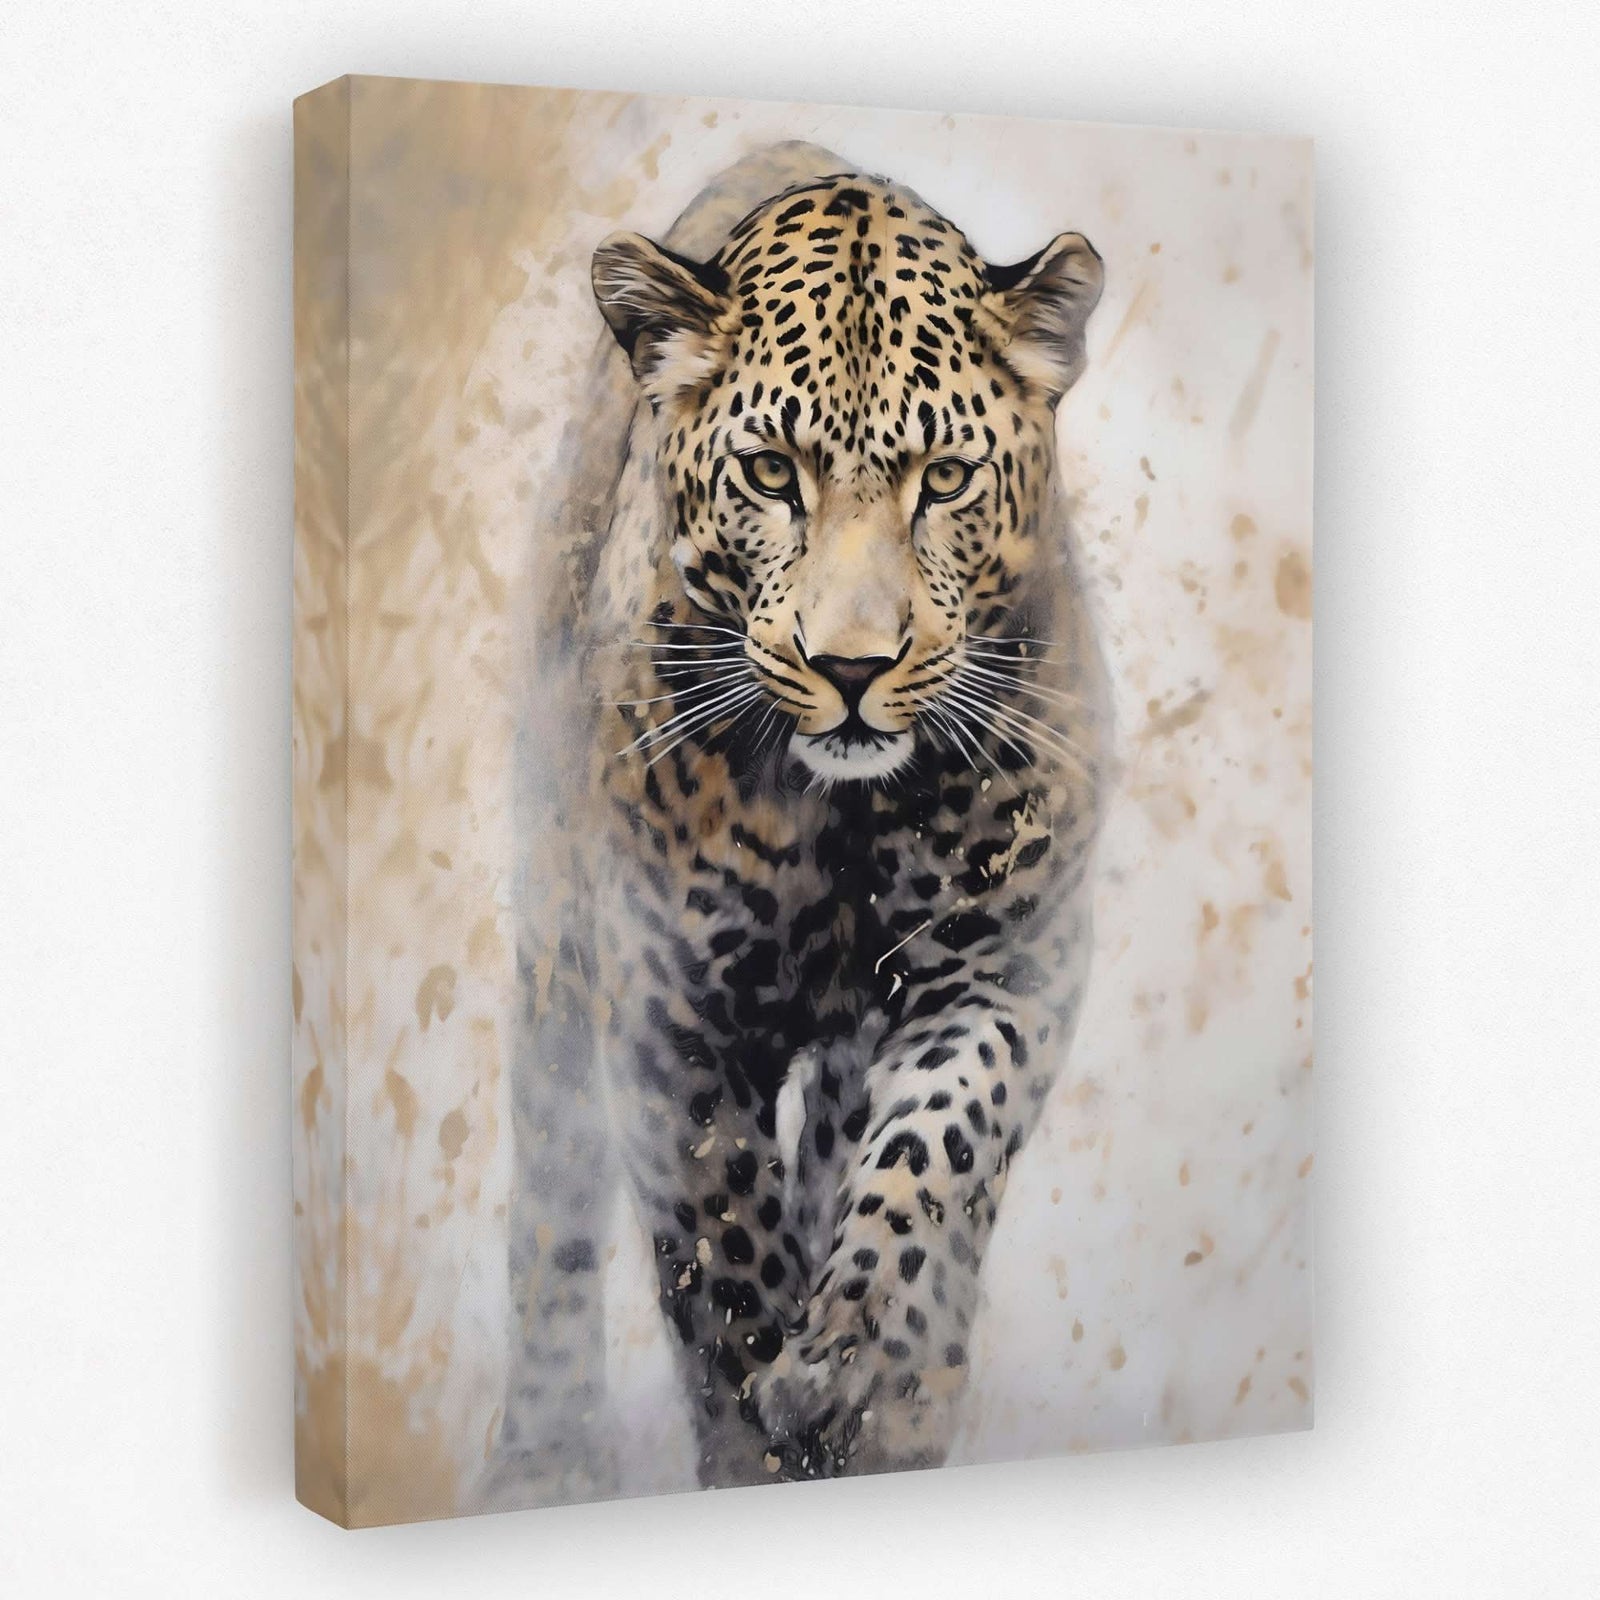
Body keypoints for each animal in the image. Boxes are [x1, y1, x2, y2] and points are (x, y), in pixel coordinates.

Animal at [486, 140, 1111, 1504]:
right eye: (773, 473)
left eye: (944, 479)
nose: (853, 666)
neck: (843, 817)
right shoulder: (665, 1014)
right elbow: (723, 1251)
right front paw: (766, 1421)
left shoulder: (1005, 968)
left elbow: (931, 1157)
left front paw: (855, 1357)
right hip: (555, 941)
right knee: (550, 1203)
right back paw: (544, 1455)